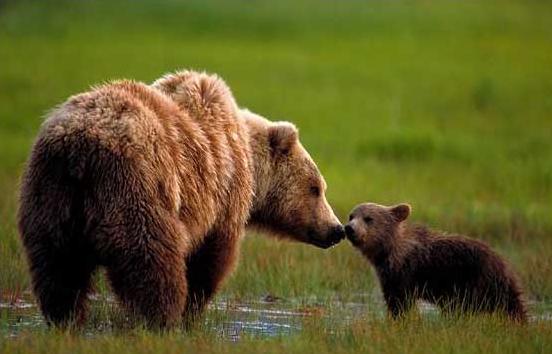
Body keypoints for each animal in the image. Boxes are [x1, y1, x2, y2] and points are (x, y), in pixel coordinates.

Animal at [17, 70, 344, 330]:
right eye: (316, 188)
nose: (337, 229)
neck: (249, 162)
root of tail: (79, 146)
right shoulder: (223, 196)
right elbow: (211, 258)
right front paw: (192, 310)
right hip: (134, 186)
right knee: (151, 258)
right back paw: (161, 318)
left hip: (51, 195)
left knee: (58, 266)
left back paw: (66, 318)